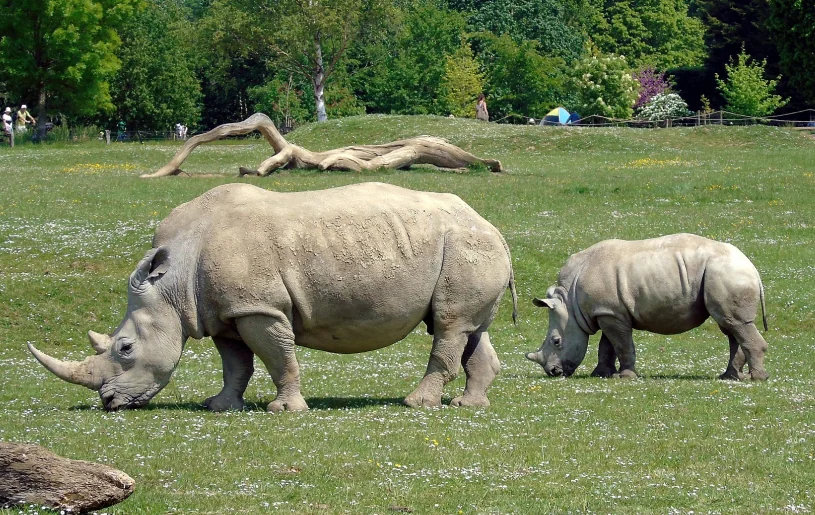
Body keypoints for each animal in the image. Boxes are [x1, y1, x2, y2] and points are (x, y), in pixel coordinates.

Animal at [29, 182, 517, 411]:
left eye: (126, 348)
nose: (108, 403)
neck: (172, 282)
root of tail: (493, 226)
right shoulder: (223, 311)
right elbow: (236, 364)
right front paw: (220, 406)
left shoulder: (259, 308)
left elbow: (277, 357)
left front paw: (284, 410)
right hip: (466, 247)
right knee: (465, 327)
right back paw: (469, 405)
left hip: (466, 245)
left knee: (449, 325)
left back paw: (417, 403)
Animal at [525, 234, 769, 381]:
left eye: (556, 341)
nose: (553, 372)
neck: (570, 303)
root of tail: (752, 268)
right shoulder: (608, 311)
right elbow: (607, 346)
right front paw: (601, 374)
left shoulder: (610, 313)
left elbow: (621, 344)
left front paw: (625, 377)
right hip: (722, 275)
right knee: (730, 326)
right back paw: (729, 377)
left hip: (726, 273)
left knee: (735, 324)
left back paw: (756, 379)